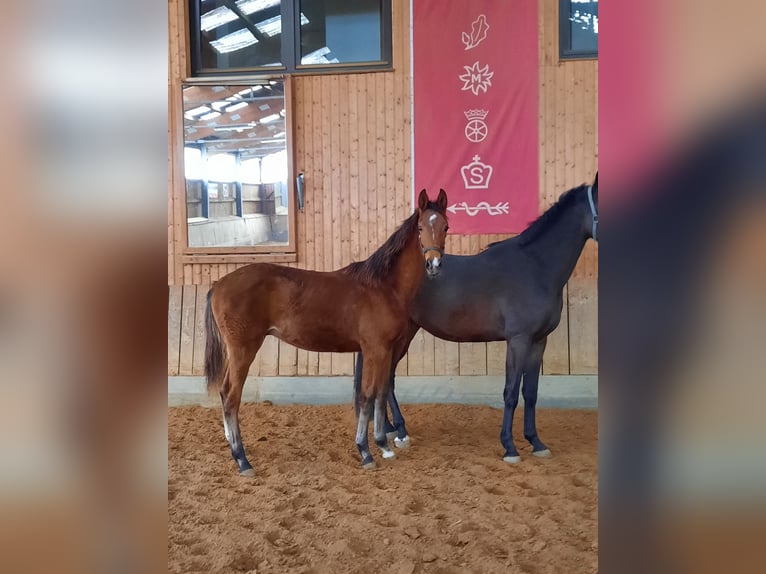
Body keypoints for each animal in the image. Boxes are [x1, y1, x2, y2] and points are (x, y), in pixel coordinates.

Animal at [204, 189, 449, 475]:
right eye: (421, 227)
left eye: (445, 226)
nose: (434, 264)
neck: (383, 287)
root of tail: (219, 284)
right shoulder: (374, 350)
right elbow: (366, 395)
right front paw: (365, 451)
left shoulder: (386, 350)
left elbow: (379, 393)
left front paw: (383, 445)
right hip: (243, 349)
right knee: (231, 396)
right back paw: (242, 459)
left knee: (225, 394)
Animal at [354, 175, 598, 462]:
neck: (535, 267)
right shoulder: (518, 340)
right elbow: (511, 392)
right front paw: (510, 447)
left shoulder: (539, 341)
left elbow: (531, 392)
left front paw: (536, 442)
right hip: (400, 336)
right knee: (387, 379)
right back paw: (398, 432)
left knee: (388, 378)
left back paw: (395, 430)